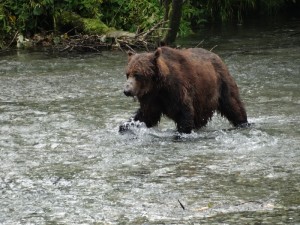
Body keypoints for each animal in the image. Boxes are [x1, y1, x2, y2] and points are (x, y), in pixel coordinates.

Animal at [119, 45, 248, 134]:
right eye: (127, 74)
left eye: (137, 74)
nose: (127, 91)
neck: (158, 86)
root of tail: (216, 55)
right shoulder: (152, 98)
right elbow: (146, 115)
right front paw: (124, 126)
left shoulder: (176, 90)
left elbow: (184, 112)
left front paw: (181, 132)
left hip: (221, 82)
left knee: (232, 103)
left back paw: (243, 122)